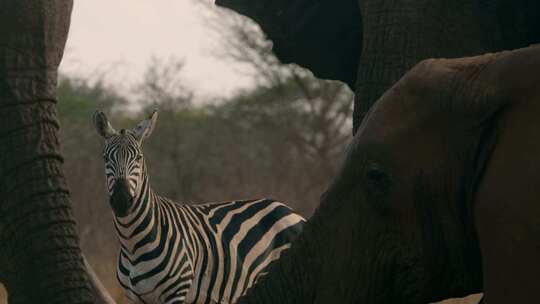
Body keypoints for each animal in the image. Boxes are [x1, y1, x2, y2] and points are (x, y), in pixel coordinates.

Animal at [92, 110, 304, 302]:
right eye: (105, 158)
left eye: (138, 158)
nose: (121, 201)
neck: (132, 243)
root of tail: (286, 207)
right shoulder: (134, 298)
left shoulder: (177, 292)